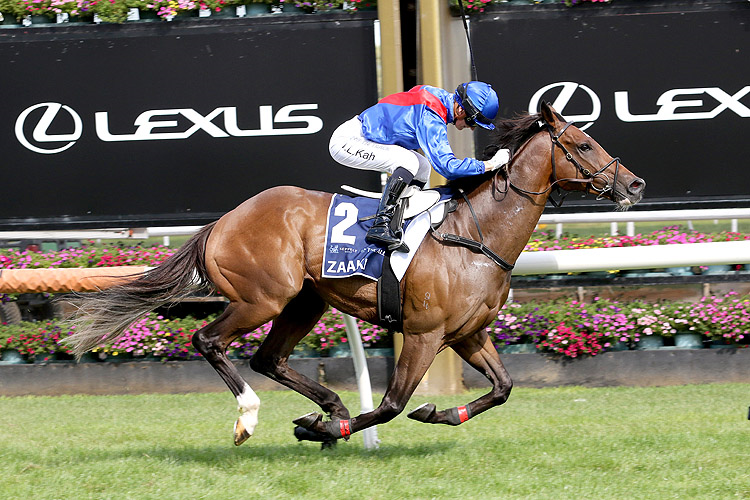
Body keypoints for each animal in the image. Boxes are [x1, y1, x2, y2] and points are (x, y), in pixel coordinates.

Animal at [67, 101, 648, 446]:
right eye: (584, 144)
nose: (635, 184)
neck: (474, 235)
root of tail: (223, 221)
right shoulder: (424, 333)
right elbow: (391, 405)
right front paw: (332, 428)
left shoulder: (468, 333)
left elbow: (503, 388)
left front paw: (435, 415)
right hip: (262, 299)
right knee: (208, 340)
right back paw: (255, 416)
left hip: (306, 301)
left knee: (267, 358)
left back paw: (326, 408)